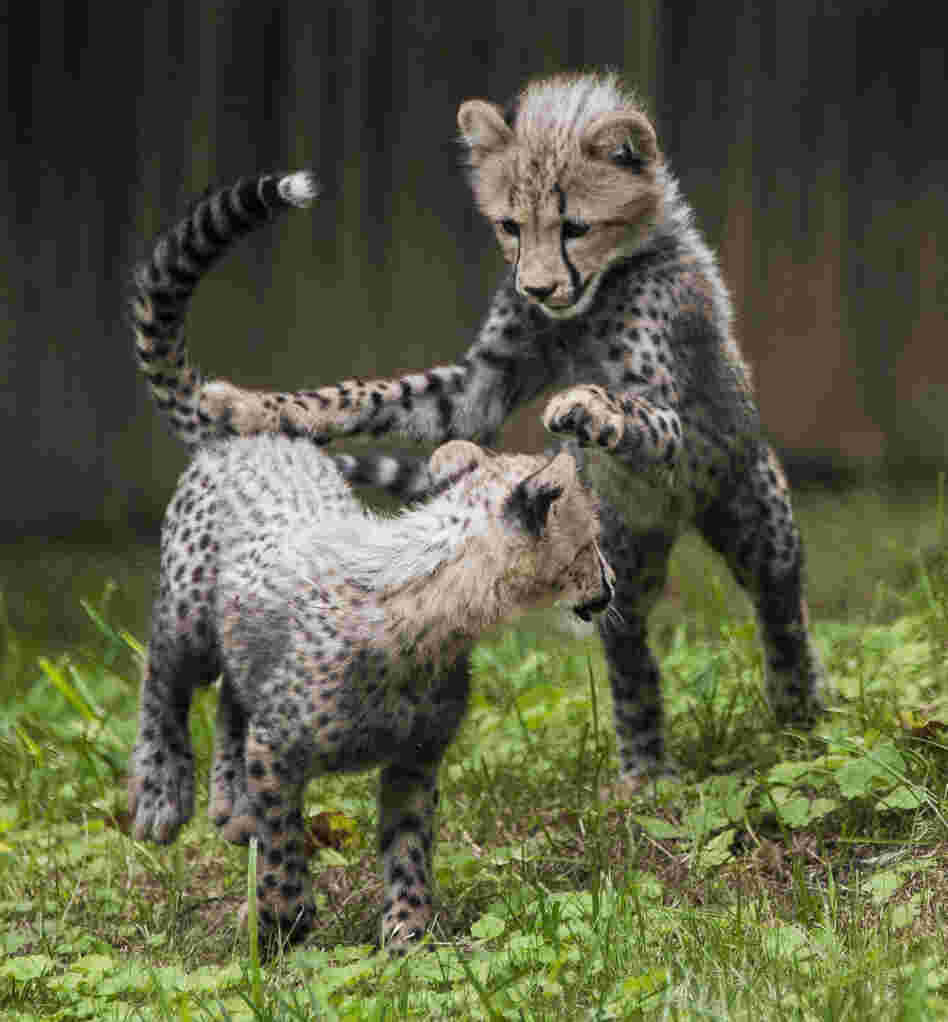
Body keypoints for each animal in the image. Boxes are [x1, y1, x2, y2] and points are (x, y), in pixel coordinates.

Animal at [128, 432, 614, 948]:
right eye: (590, 542)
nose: (610, 587)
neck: (433, 614)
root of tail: (260, 438)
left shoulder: (415, 759)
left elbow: (408, 844)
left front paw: (408, 930)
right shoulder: (276, 750)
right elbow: (281, 843)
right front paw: (277, 921)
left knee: (232, 698)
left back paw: (233, 804)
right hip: (190, 621)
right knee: (162, 674)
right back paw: (160, 794)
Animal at [130, 70, 825, 782]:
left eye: (575, 226)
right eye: (511, 225)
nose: (539, 288)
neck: (595, 294)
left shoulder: (670, 409)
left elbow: (639, 412)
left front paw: (591, 406)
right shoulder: (480, 388)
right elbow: (383, 393)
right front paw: (260, 407)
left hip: (754, 515)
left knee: (781, 608)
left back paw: (799, 716)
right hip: (616, 557)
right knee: (630, 653)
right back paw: (643, 769)